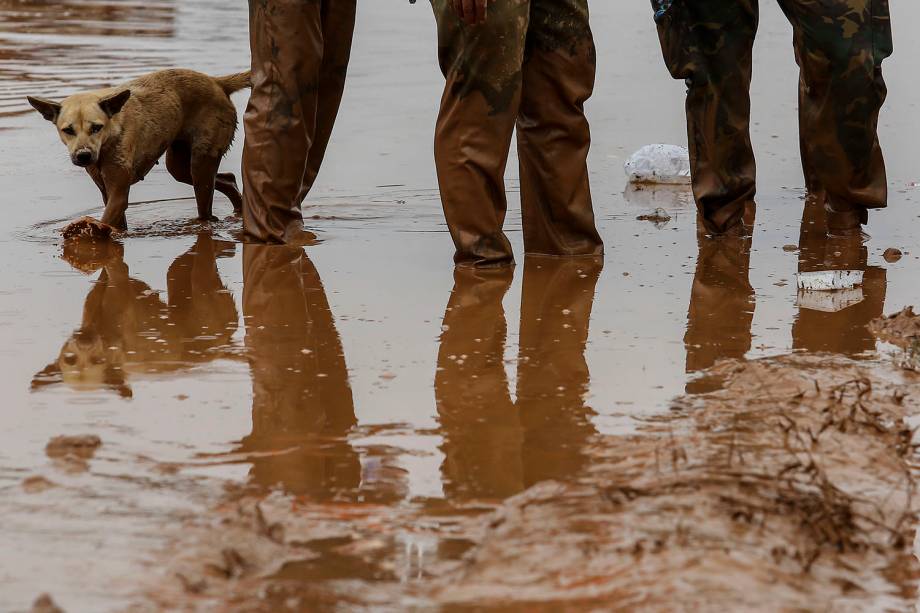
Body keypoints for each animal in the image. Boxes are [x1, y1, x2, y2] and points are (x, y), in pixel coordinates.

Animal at [29, 69, 252, 231]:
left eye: (96, 127)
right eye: (68, 130)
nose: (83, 155)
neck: (109, 138)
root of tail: (217, 82)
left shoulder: (118, 192)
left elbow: (108, 216)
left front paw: (91, 229)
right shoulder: (105, 189)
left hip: (202, 161)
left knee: (205, 199)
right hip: (179, 164)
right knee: (226, 178)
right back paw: (238, 209)